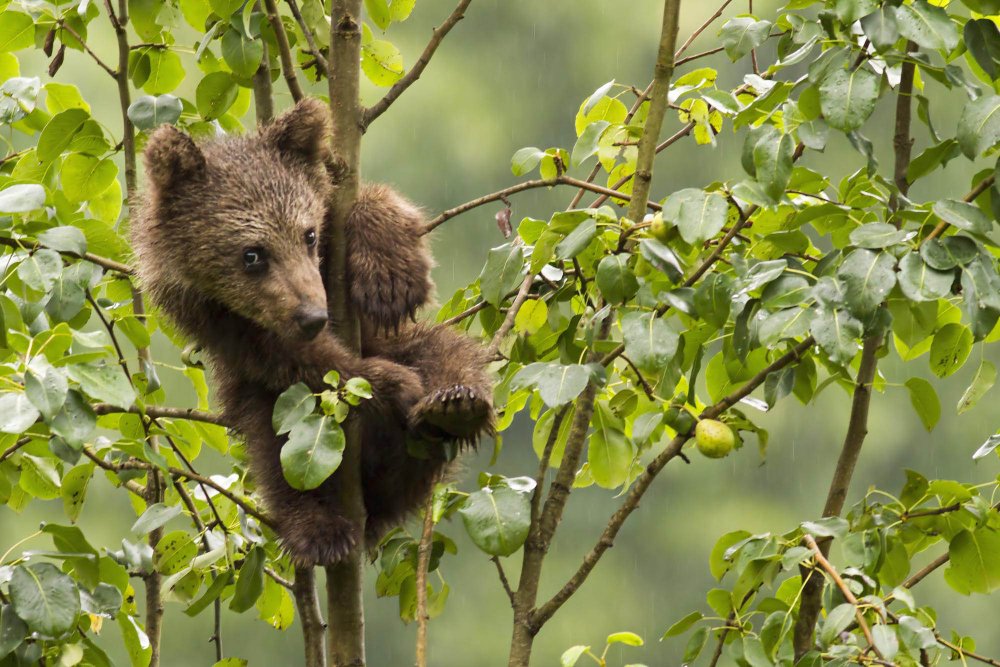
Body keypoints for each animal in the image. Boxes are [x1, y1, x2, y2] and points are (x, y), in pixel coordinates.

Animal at [131, 99, 494, 568]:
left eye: (309, 234)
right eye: (252, 254)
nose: (313, 316)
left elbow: (371, 204)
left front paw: (391, 277)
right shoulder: (212, 316)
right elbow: (294, 359)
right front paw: (386, 381)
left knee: (447, 351)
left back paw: (455, 402)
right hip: (273, 415)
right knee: (278, 453)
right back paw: (320, 527)